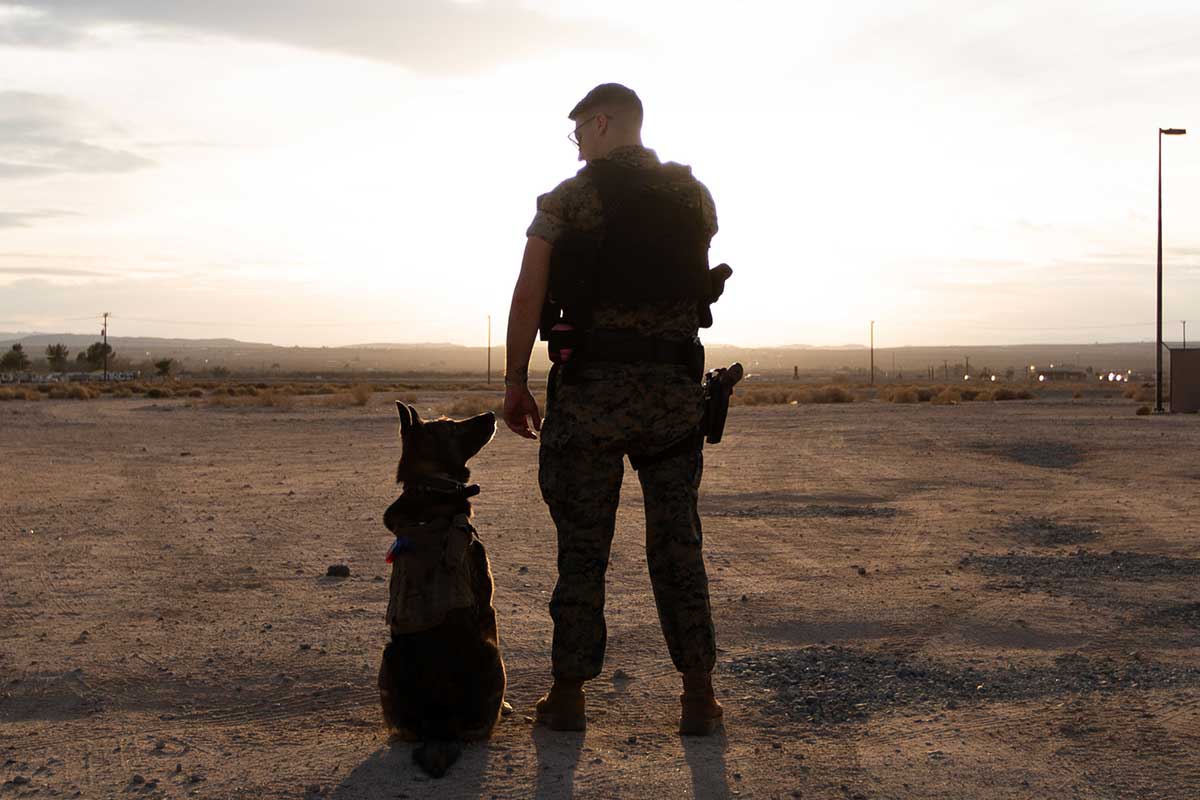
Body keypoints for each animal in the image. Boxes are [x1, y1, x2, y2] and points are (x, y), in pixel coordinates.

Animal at [376, 402, 504, 777]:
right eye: (451, 426)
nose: (492, 414)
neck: (432, 488)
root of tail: (440, 727)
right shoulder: (488, 604)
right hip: (495, 658)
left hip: (387, 657)